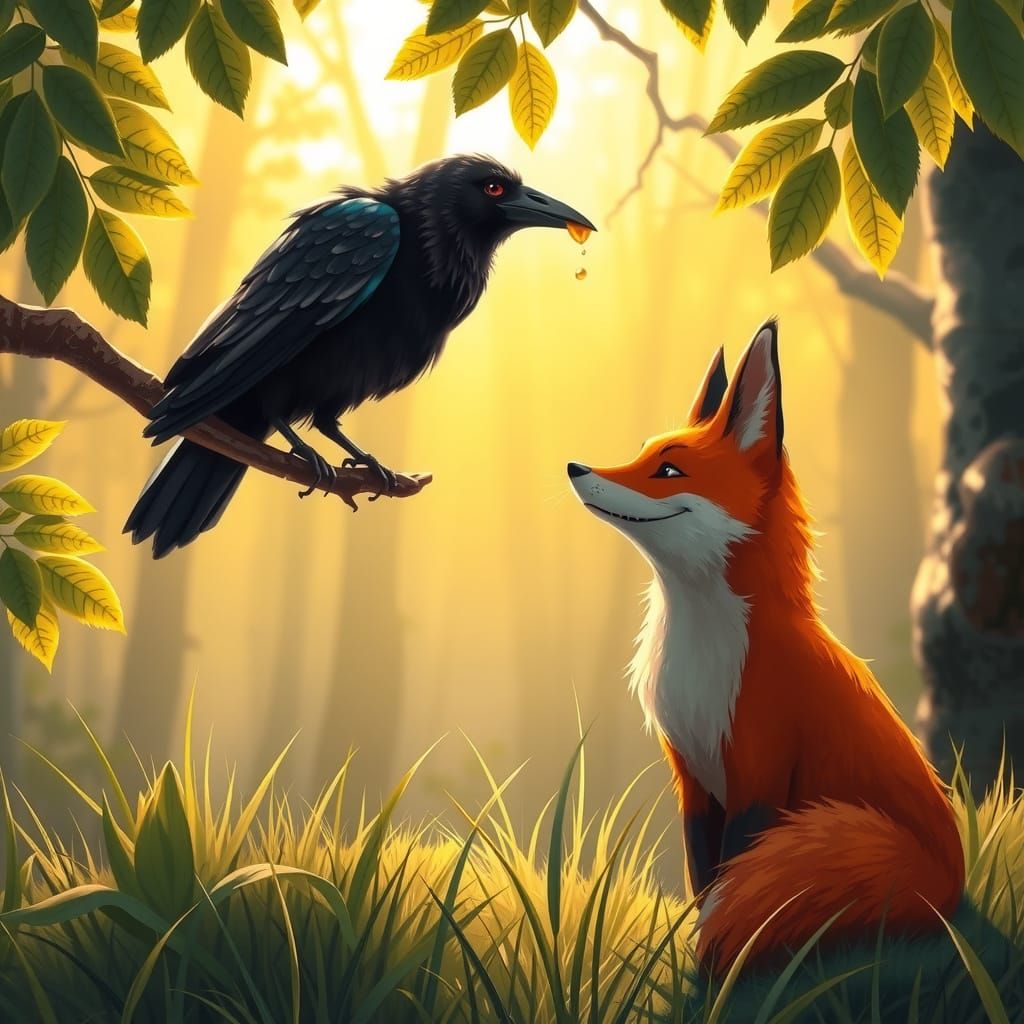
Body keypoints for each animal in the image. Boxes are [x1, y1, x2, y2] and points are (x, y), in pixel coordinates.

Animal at [567, 320, 964, 974]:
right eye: (643, 452)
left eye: (669, 471)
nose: (575, 465)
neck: (703, 655)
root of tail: (953, 884)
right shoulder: (694, 779)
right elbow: (703, 880)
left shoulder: (758, 771)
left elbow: (728, 886)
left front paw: (707, 970)